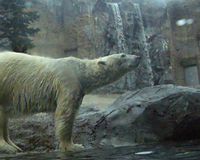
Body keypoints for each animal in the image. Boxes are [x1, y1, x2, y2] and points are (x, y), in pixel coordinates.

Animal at [0, 52, 141, 153]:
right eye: (123, 55)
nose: (138, 57)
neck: (79, 70)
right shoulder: (67, 81)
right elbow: (65, 113)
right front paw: (73, 146)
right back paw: (8, 147)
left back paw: (15, 146)